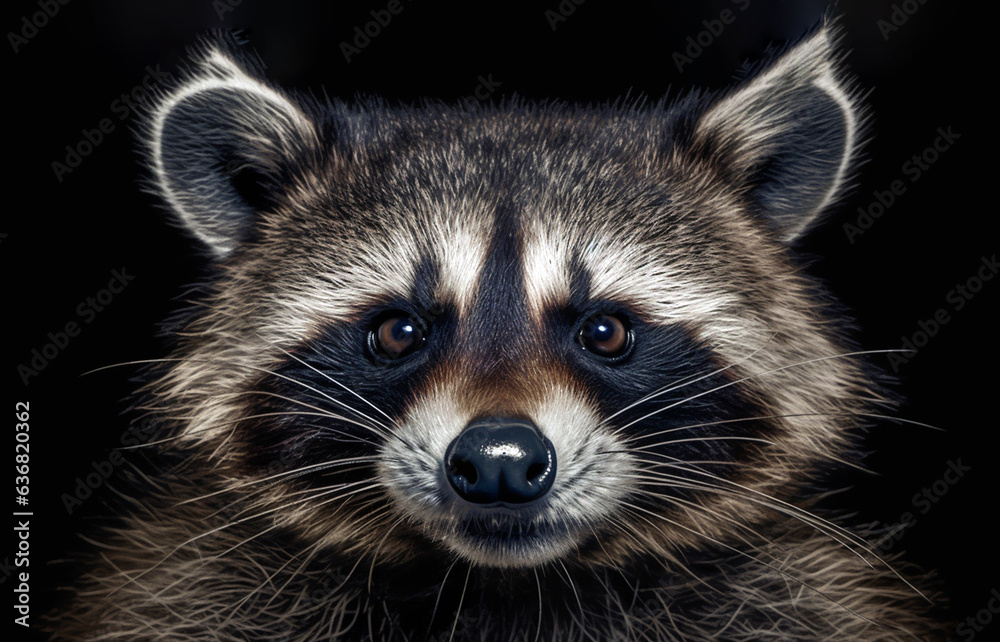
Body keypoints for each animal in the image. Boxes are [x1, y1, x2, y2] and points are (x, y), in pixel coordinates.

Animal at [47, 20, 940, 640]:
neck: (501, 587)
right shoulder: (188, 594)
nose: (500, 460)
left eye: (605, 331)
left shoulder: (800, 600)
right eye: (398, 331)